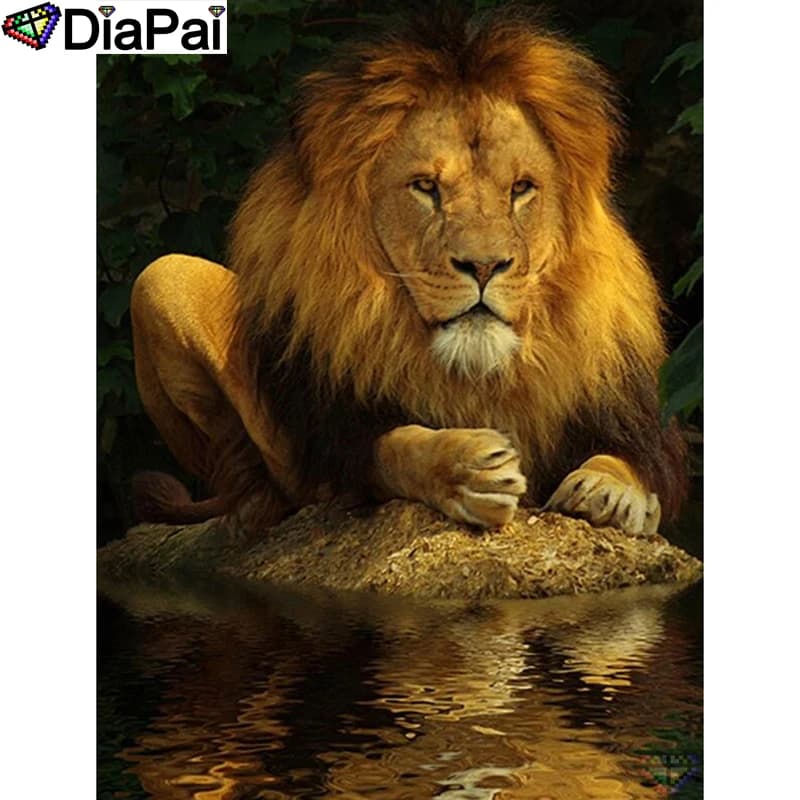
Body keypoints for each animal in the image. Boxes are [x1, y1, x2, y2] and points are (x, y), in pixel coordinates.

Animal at [130, 8, 686, 536]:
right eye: (425, 187)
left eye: (521, 189)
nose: (484, 265)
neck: (477, 371)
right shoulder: (337, 443)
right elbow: (397, 447)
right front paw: (466, 469)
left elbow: (630, 457)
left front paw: (613, 491)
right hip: (162, 275)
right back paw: (254, 509)